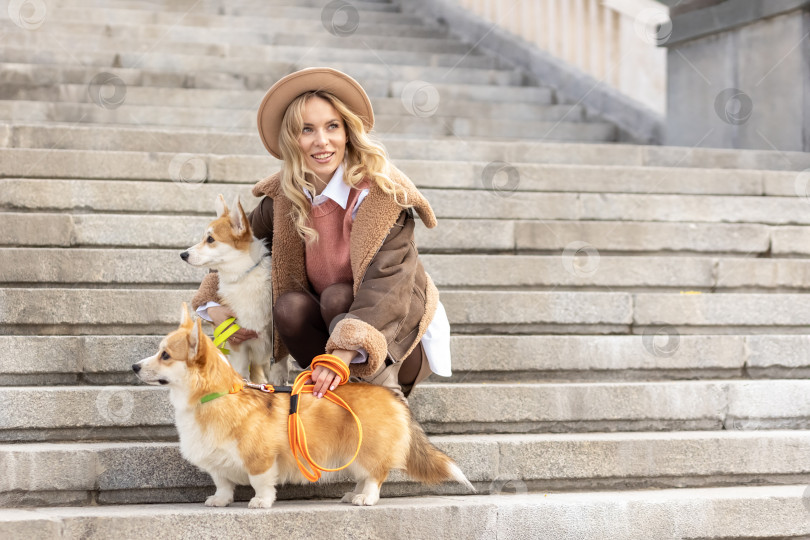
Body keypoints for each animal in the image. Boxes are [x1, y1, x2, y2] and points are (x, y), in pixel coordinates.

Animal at [132, 306, 474, 508]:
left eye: (165, 355)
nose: (134, 366)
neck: (211, 397)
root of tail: (391, 398)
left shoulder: (260, 459)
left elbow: (260, 482)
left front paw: (260, 502)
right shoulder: (217, 462)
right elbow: (223, 482)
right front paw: (220, 500)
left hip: (368, 452)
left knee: (376, 476)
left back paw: (365, 498)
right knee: (364, 476)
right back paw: (353, 494)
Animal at [181, 194, 286, 384]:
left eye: (210, 239)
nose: (182, 255)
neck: (243, 276)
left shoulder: (275, 338)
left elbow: (279, 364)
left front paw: (279, 381)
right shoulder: (237, 340)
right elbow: (242, 370)